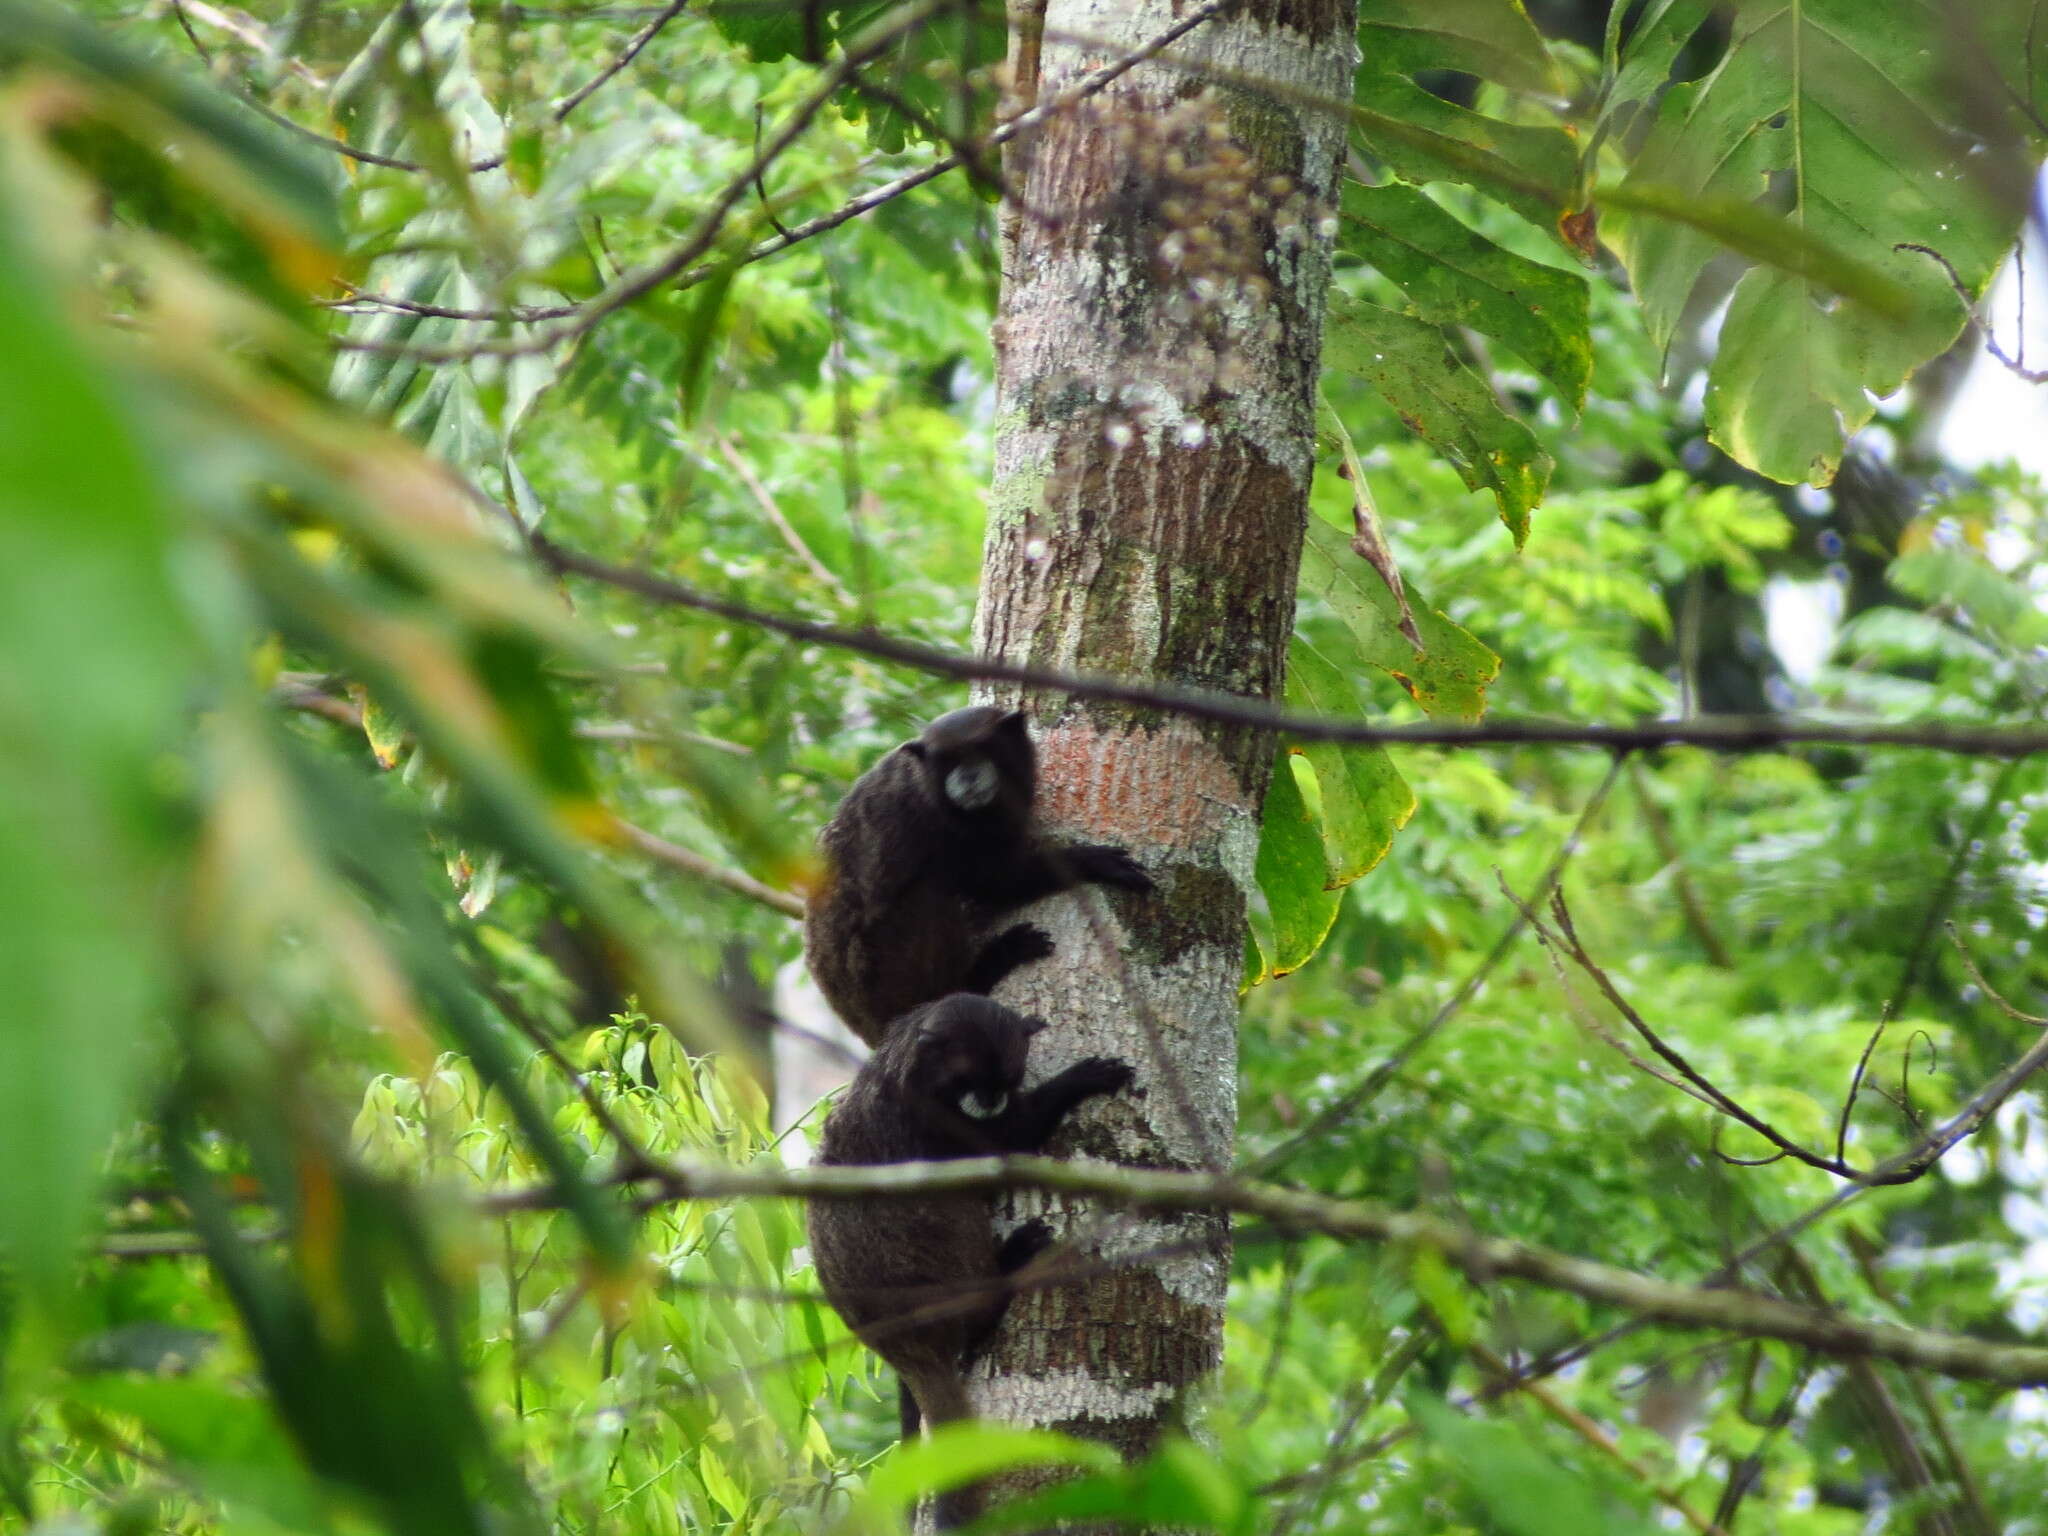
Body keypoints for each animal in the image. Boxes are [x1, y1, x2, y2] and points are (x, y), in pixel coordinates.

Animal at [798, 708, 1155, 1048]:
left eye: (981, 751)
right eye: (950, 761)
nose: (968, 777)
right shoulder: (930, 819)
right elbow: (989, 882)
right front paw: (1089, 861)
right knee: (929, 892)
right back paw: (983, 972)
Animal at [806, 999, 1138, 1531]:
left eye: (1007, 1078)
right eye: (973, 1079)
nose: (992, 1099)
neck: (908, 1069)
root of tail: (908, 1347)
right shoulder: (931, 1121)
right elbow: (1003, 1144)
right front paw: (1076, 1082)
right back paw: (1007, 1269)